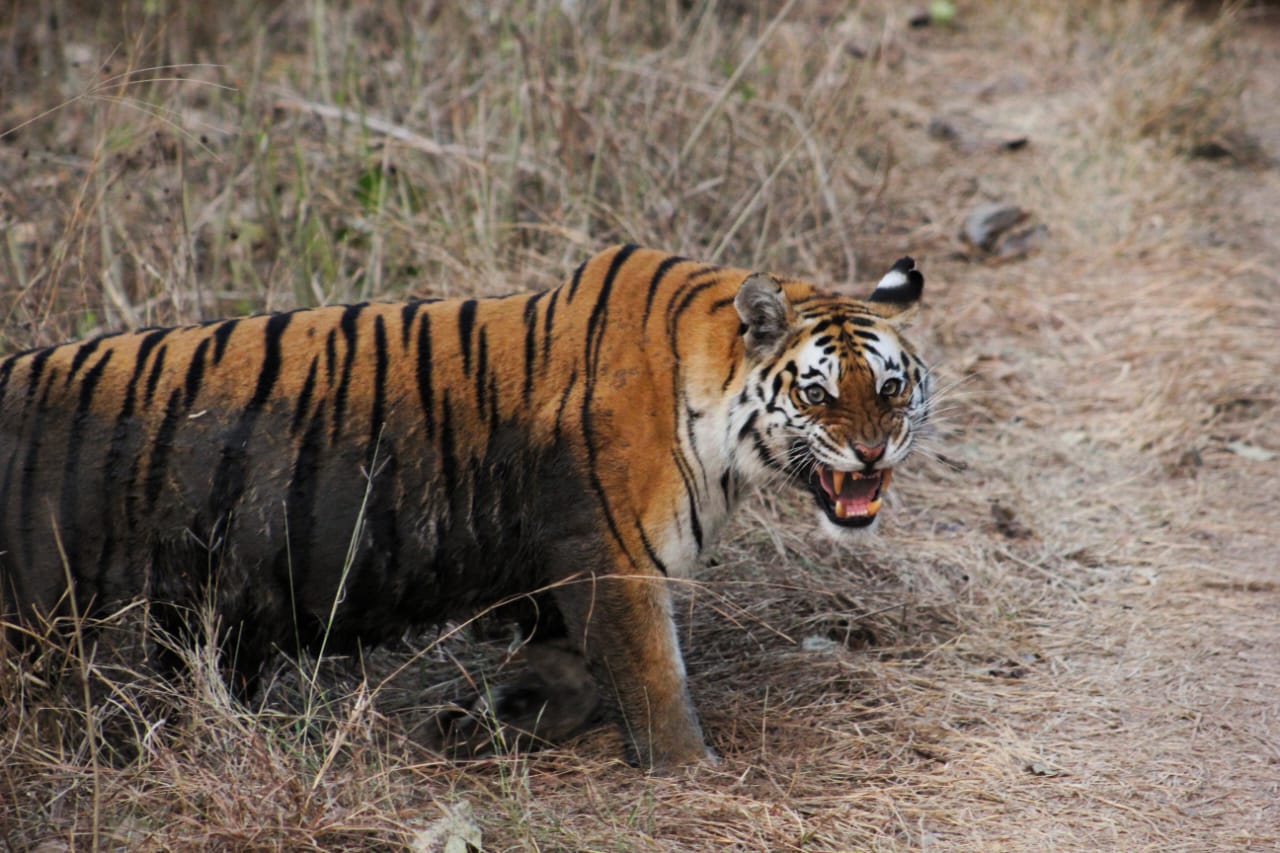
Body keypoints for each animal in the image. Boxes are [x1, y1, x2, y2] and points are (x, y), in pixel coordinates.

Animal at [0, 244, 929, 768]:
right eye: (817, 394)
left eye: (890, 387)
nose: (873, 452)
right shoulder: (616, 560)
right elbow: (653, 680)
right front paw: (691, 768)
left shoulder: (558, 564)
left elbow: (576, 674)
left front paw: (490, 722)